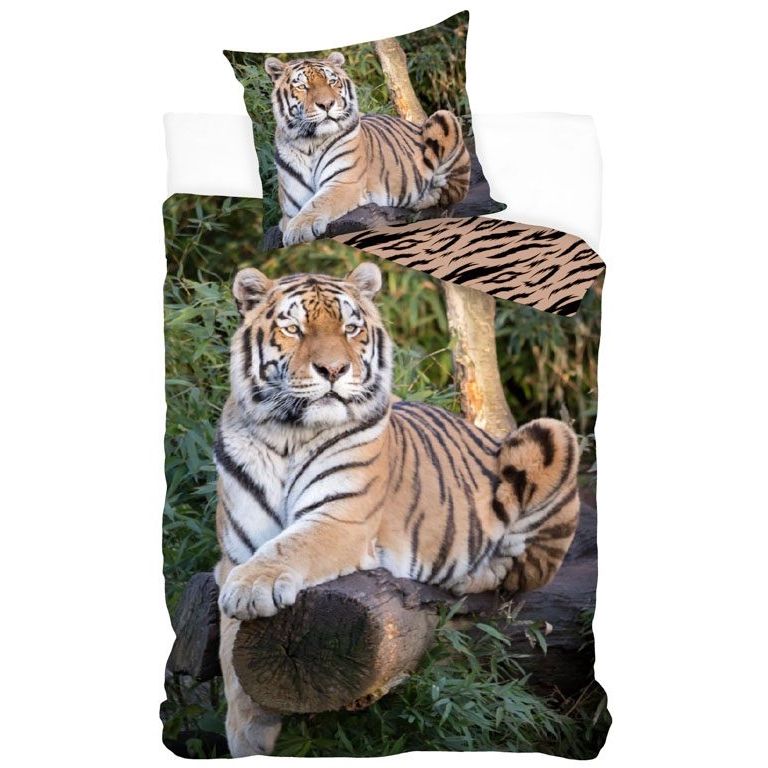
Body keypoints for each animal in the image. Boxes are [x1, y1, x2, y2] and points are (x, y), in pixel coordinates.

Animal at [213, 261, 581, 756]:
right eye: (294, 329)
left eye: (350, 328)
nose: (334, 369)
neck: (287, 433)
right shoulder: (232, 553)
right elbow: (228, 649)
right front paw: (247, 733)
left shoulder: (341, 518)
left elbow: (289, 547)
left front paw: (252, 588)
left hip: (551, 433)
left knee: (522, 572)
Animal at [264, 52, 471, 246]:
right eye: (302, 86)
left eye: (332, 82)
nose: (327, 104)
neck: (310, 143)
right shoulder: (291, 204)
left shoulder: (344, 182)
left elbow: (318, 202)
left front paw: (298, 230)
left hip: (445, 118)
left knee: (452, 193)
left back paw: (420, 201)